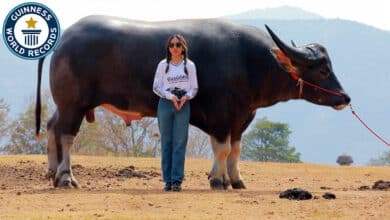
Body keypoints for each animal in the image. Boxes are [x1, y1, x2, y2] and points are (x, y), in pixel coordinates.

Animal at [36, 15, 350, 189]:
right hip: (73, 104)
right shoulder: (221, 116)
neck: (249, 62)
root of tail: (64, 38)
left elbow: (235, 150)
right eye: (323, 70)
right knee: (66, 135)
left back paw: (51, 171)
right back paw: (65, 178)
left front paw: (235, 180)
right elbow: (222, 148)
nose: (345, 97)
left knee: (52, 127)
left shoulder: (241, 118)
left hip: (65, 104)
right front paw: (218, 181)